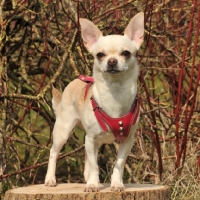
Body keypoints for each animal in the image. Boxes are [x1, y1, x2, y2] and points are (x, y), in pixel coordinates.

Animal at [44, 12, 144, 192]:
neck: (115, 92)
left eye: (126, 53)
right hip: (63, 131)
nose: (112, 61)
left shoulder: (127, 141)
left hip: (89, 139)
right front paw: (92, 184)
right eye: (100, 55)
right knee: (54, 152)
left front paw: (116, 184)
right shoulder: (91, 139)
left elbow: (119, 164)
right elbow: (95, 165)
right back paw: (50, 179)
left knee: (86, 156)